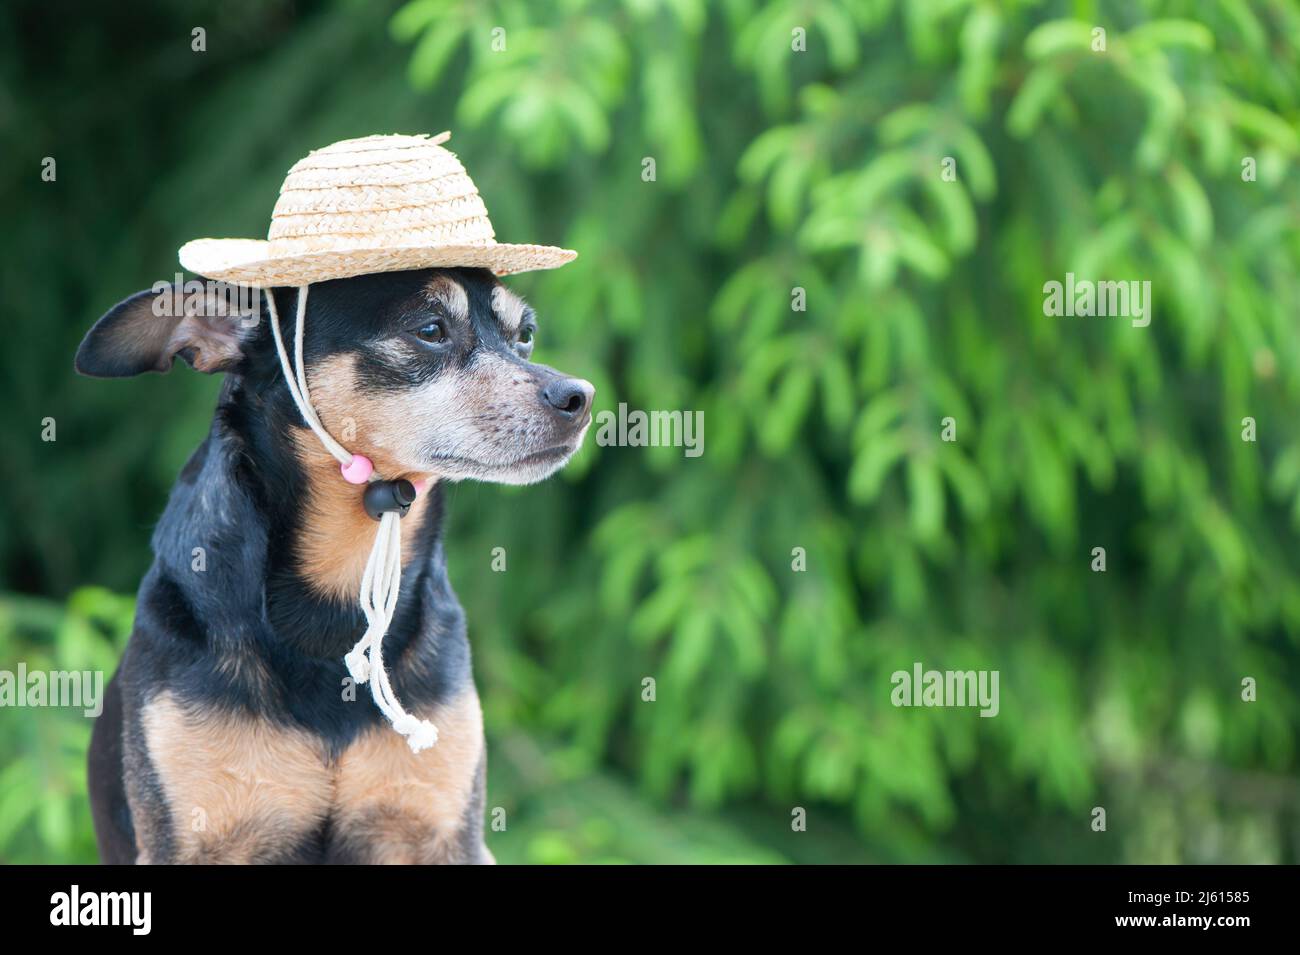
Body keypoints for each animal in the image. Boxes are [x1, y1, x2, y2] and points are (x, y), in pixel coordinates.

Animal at [76, 267, 595, 867]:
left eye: (525, 336)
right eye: (430, 329)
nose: (580, 397)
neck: (333, 601)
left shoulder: (442, 831)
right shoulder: (193, 840)